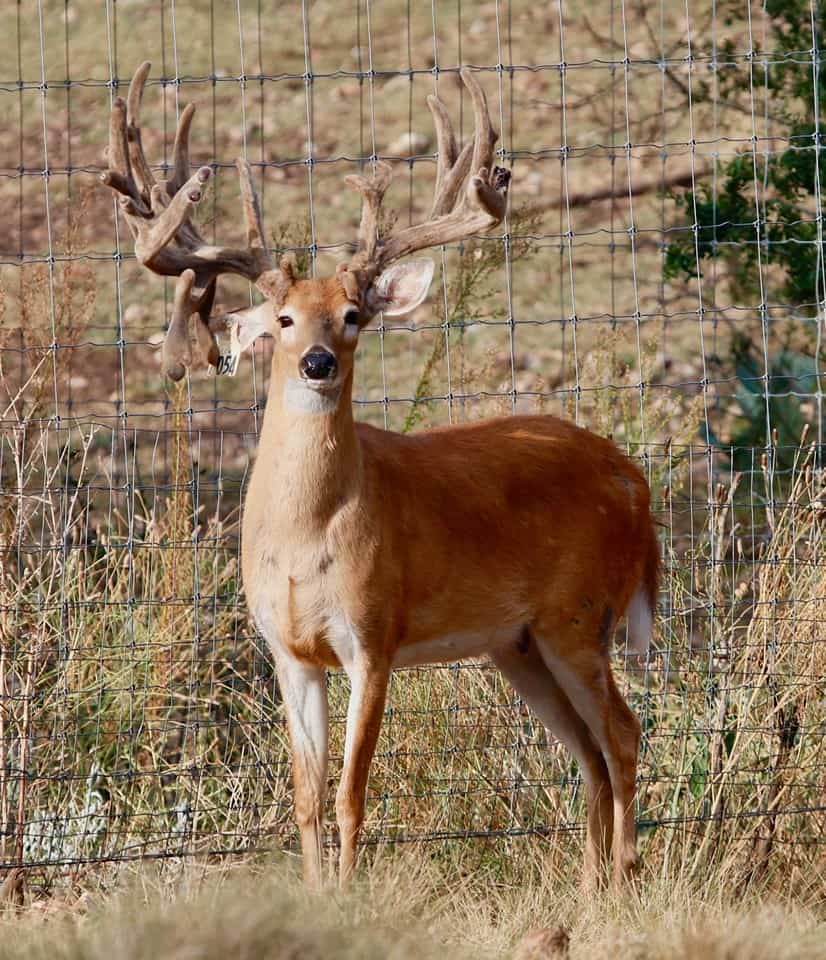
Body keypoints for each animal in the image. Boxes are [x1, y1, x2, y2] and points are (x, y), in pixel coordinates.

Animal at [101, 61, 659, 891]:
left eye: (354, 315)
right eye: (284, 319)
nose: (317, 363)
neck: (305, 540)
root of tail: (633, 479)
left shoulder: (374, 633)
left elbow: (349, 796)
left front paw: (349, 895)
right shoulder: (288, 650)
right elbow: (303, 796)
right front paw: (313, 894)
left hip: (579, 614)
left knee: (622, 734)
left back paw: (622, 881)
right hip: (518, 643)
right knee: (588, 749)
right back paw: (589, 887)